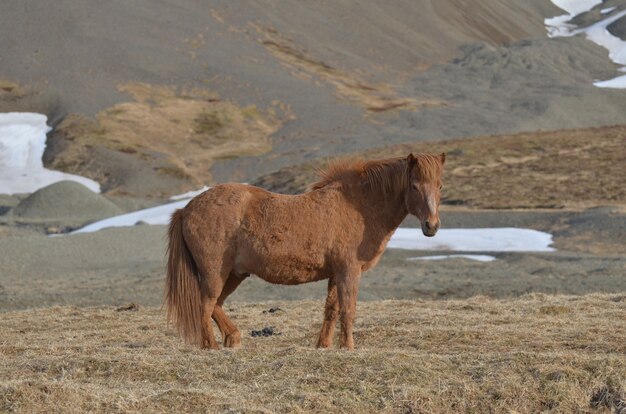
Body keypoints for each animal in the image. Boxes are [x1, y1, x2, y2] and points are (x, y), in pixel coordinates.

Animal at [163, 152, 442, 350]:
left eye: (439, 186)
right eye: (414, 185)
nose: (431, 226)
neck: (360, 205)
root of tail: (186, 209)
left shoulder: (336, 274)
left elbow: (332, 309)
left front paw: (324, 345)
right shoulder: (349, 272)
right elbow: (348, 309)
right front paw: (348, 347)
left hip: (234, 274)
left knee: (216, 305)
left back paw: (233, 338)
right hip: (215, 273)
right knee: (205, 305)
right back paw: (210, 346)